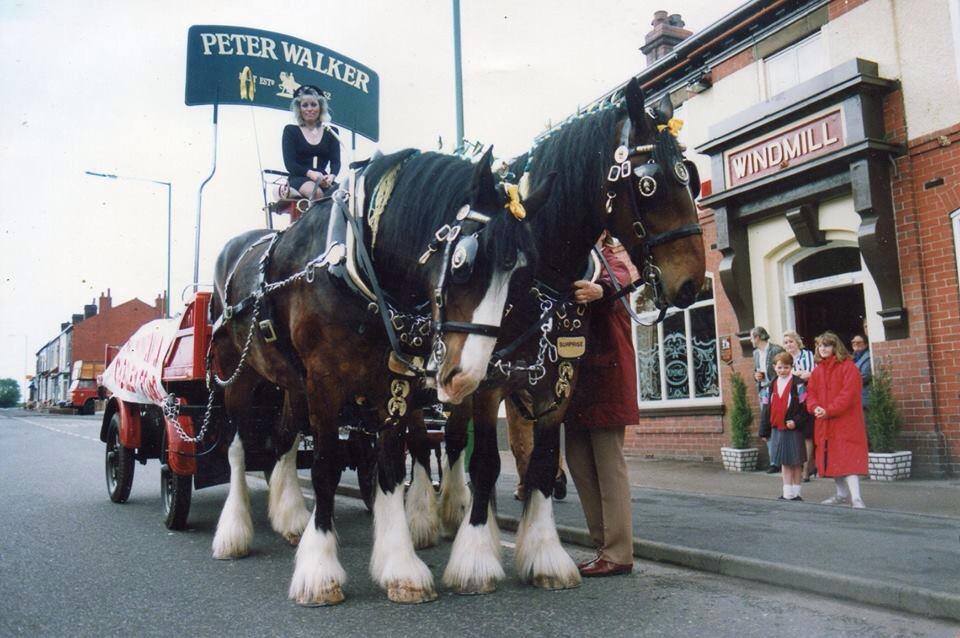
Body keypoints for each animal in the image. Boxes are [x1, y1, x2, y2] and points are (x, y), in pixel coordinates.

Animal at [208, 148, 556, 608]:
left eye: (523, 278)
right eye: (463, 263)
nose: (466, 376)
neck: (356, 264)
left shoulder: (392, 383)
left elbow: (390, 465)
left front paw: (400, 567)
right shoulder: (324, 381)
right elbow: (325, 468)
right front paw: (319, 571)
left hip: (292, 384)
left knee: (283, 438)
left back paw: (290, 517)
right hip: (239, 373)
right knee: (237, 447)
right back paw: (233, 532)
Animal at [408, 79, 708, 596]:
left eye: (688, 175)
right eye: (649, 184)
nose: (692, 283)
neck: (537, 276)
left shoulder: (558, 382)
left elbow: (544, 463)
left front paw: (544, 555)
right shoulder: (488, 382)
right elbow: (486, 462)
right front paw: (476, 558)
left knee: (450, 440)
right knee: (426, 443)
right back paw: (433, 517)